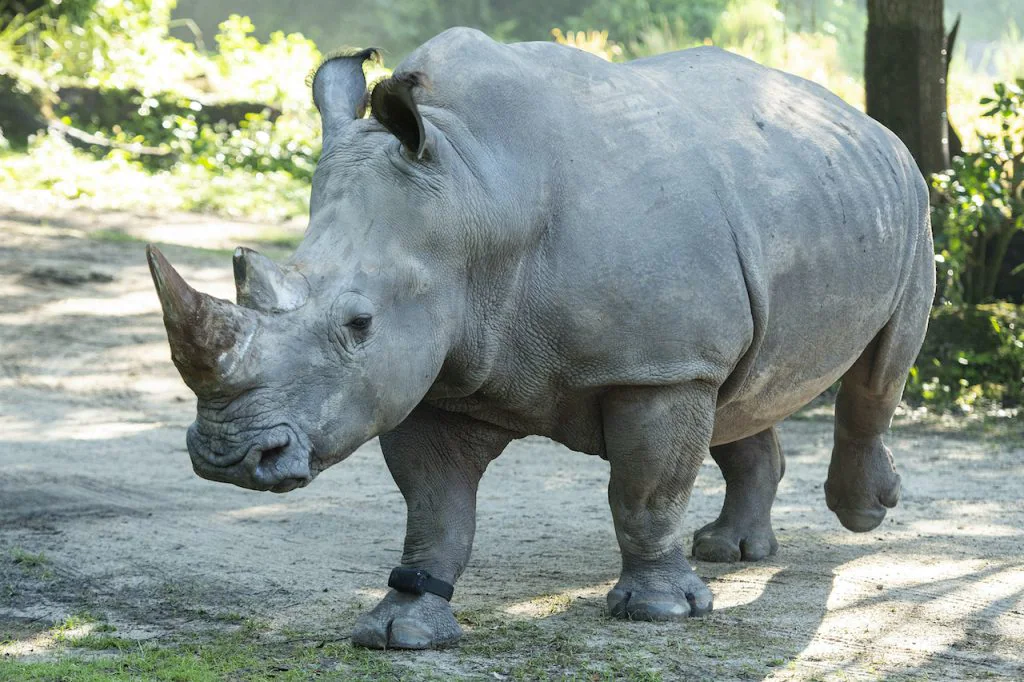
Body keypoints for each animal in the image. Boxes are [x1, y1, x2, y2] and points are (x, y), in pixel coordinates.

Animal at [146, 28, 934, 649]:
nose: (225, 455)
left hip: (910, 200)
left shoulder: (655, 367)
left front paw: (658, 613)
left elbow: (645, 491)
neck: (474, 194)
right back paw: (729, 551)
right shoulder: (434, 371)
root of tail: (861, 117)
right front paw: (402, 626)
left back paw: (862, 513)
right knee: (744, 386)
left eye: (358, 324)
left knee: (879, 370)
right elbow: (435, 509)